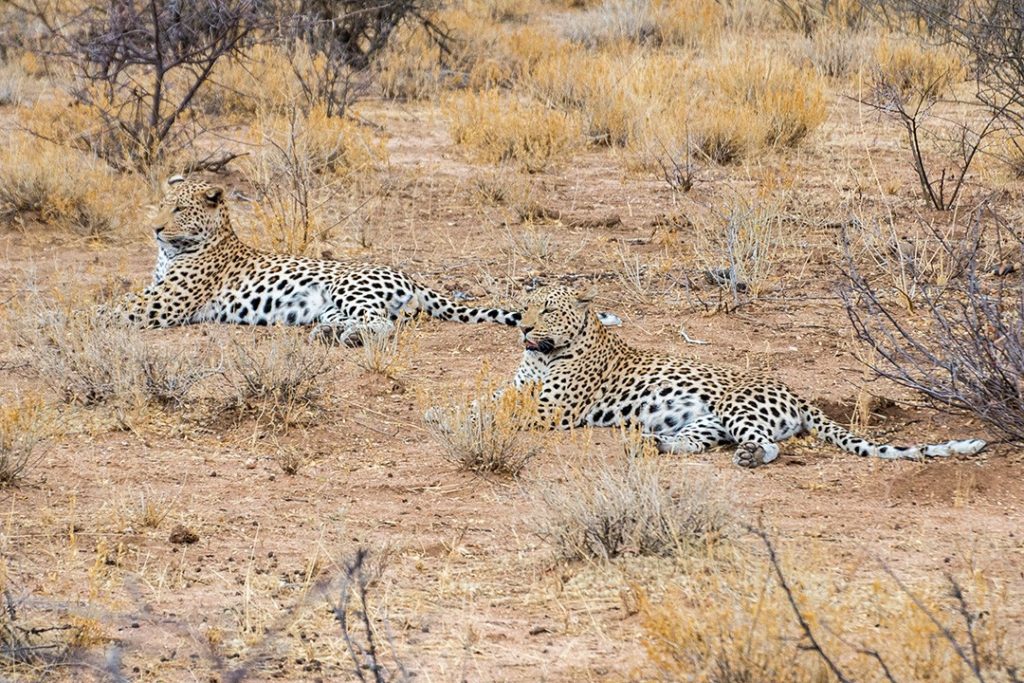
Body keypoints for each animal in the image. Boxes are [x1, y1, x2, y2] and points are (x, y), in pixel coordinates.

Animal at [103, 175, 524, 344]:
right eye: (161, 205)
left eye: (178, 209)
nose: (155, 228)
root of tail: (410, 275)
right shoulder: (155, 291)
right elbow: (116, 301)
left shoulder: (164, 301)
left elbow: (111, 308)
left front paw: (87, 318)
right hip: (333, 304)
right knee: (368, 321)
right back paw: (329, 334)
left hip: (350, 287)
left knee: (384, 325)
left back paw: (349, 338)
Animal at [507, 286, 987, 466]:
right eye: (524, 305)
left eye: (546, 310)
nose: (524, 327)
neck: (545, 355)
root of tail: (796, 392)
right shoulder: (520, 392)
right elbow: (494, 403)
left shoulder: (551, 409)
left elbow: (499, 415)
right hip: (706, 420)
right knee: (695, 441)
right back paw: (656, 443)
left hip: (736, 405)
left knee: (771, 445)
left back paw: (751, 456)